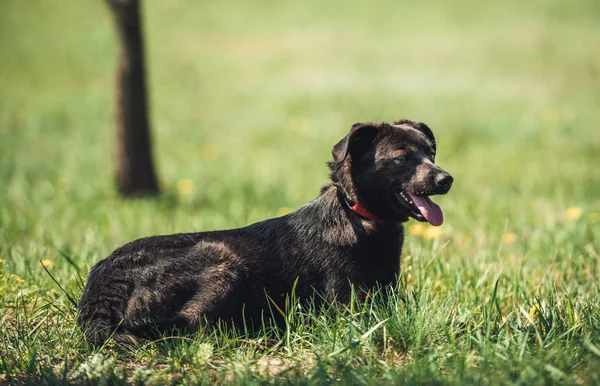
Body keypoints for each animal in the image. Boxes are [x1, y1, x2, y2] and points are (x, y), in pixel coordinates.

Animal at [81, 120, 454, 344]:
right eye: (402, 157)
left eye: (431, 153)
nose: (446, 179)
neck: (357, 214)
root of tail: (97, 295)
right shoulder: (351, 309)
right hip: (221, 258)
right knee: (193, 324)